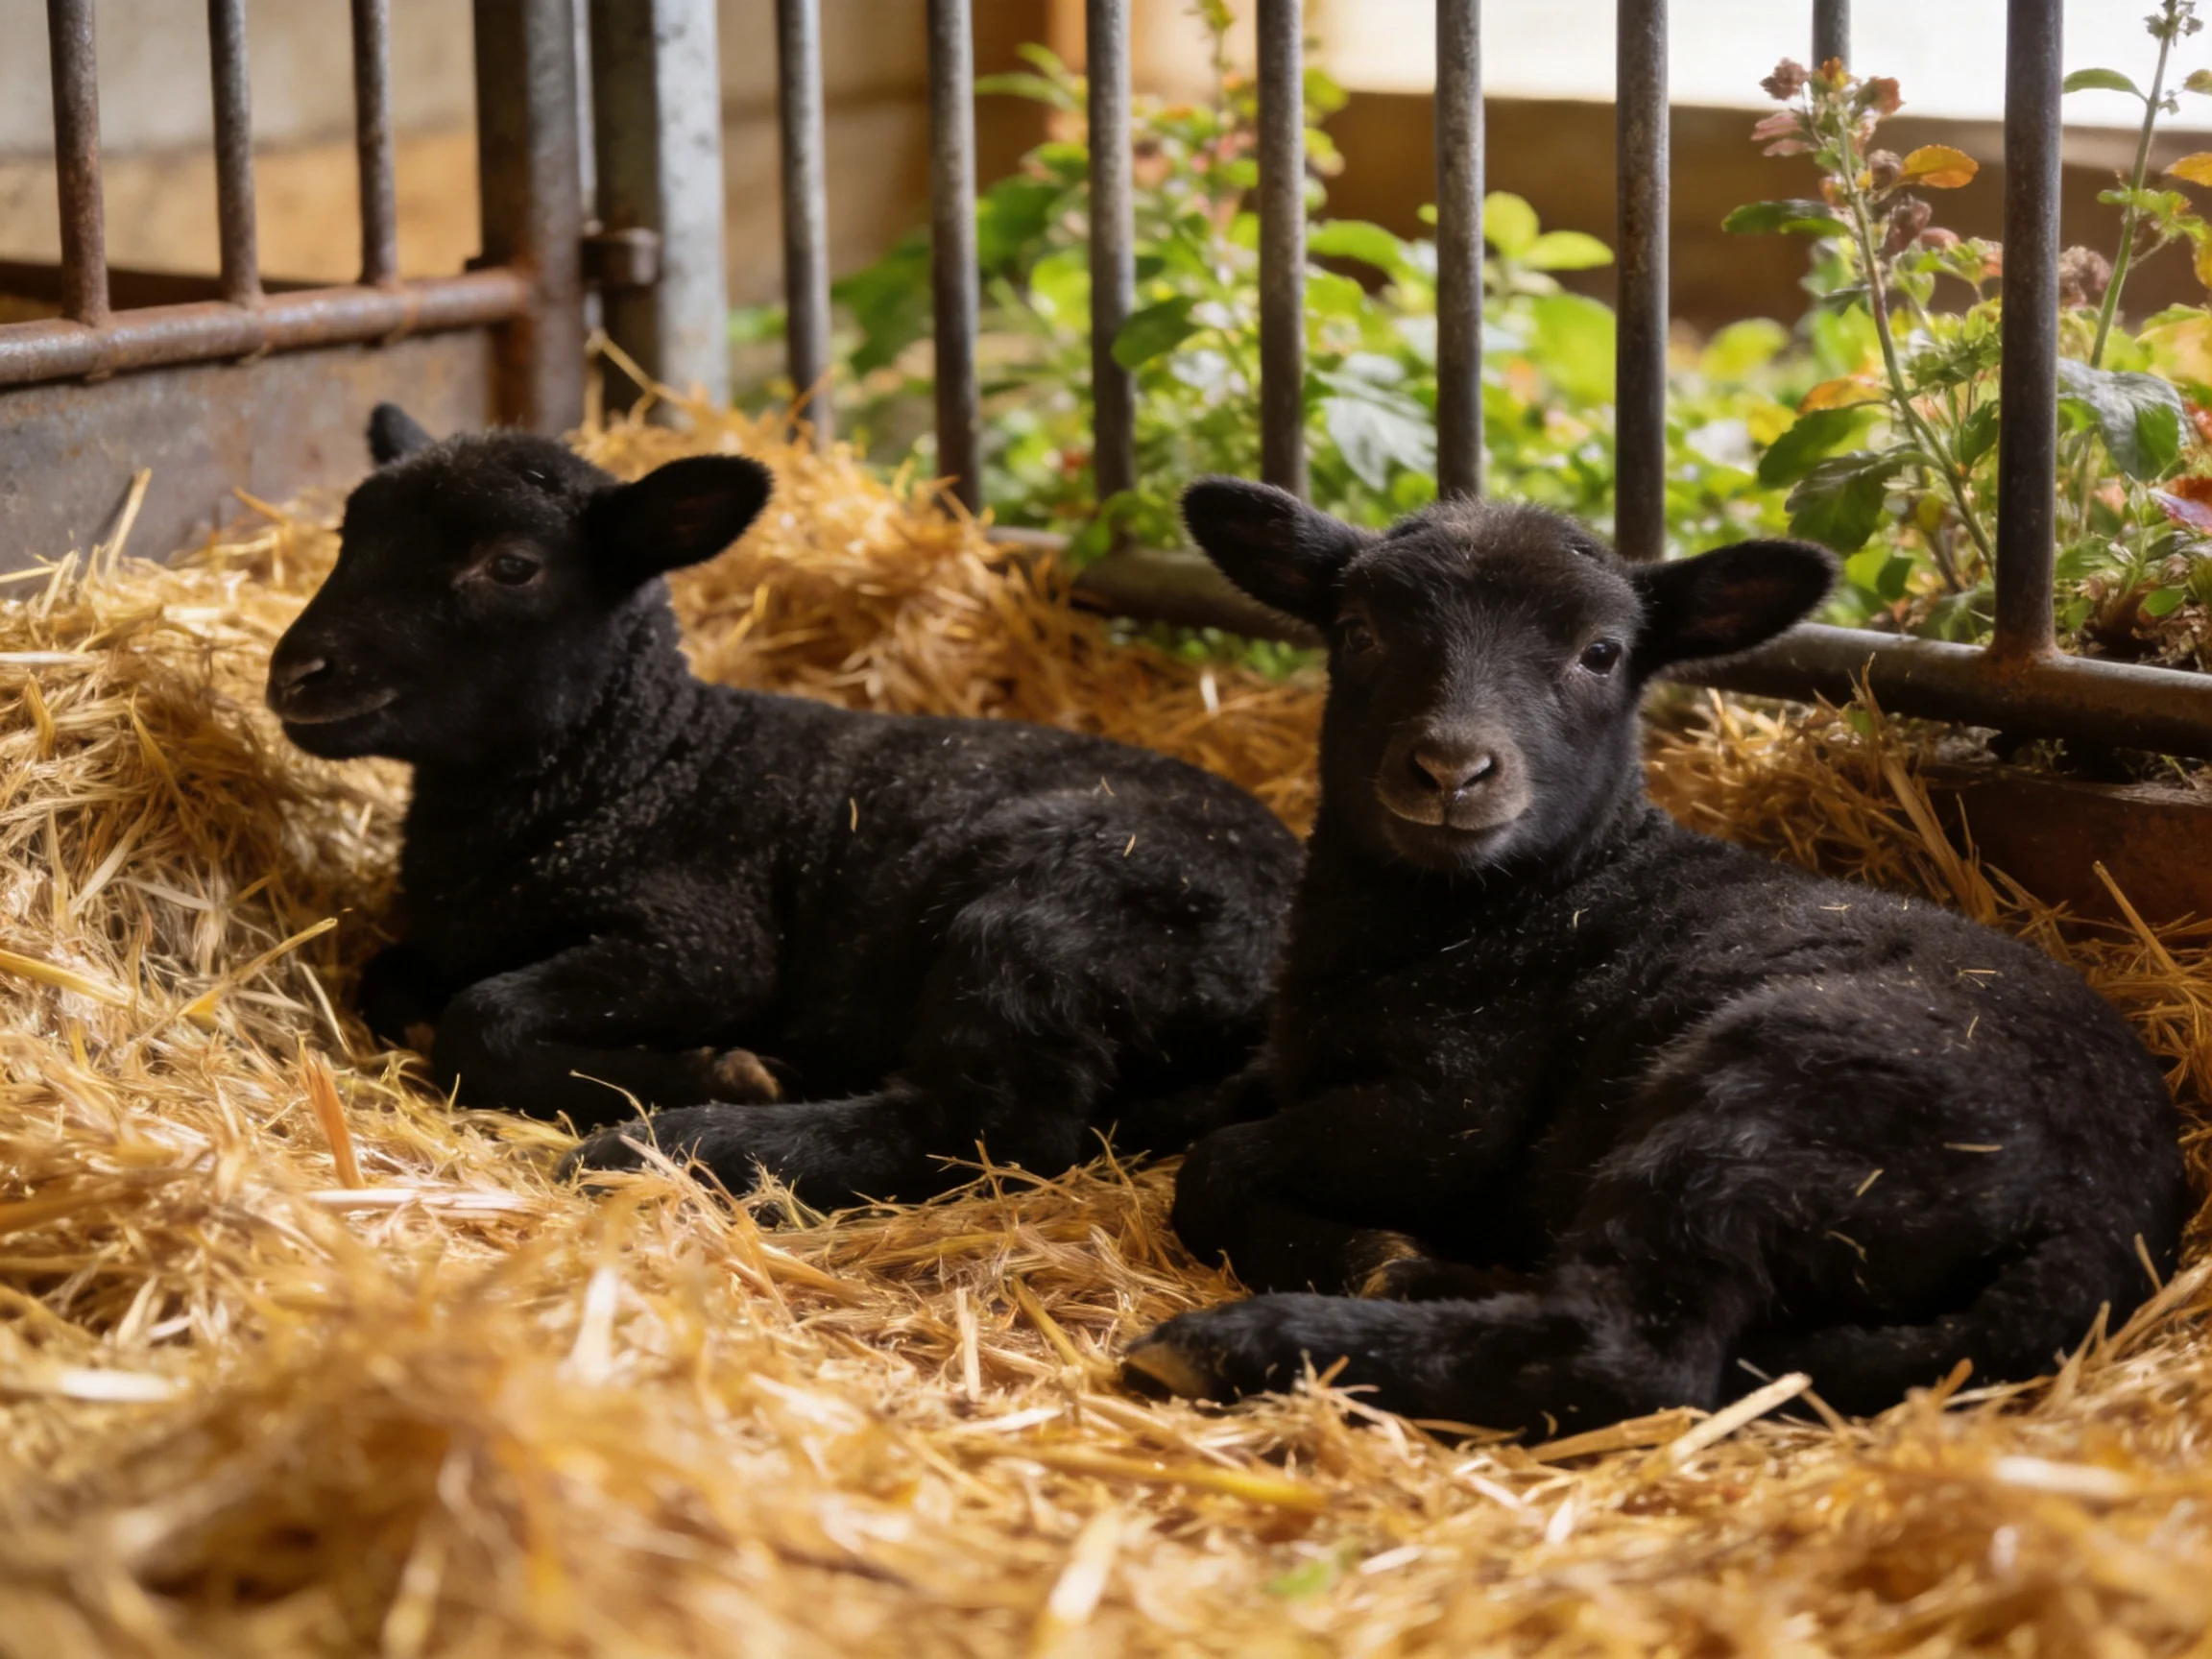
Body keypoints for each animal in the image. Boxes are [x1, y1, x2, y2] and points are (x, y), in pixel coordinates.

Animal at [265, 408, 1301, 1207]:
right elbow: (394, 983)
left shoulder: (703, 941)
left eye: (511, 566)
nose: (297, 671)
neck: (635, 766)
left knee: (988, 1130)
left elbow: (477, 1020)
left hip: (1060, 912)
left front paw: (720, 1070)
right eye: (348, 537)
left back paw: (681, 1140)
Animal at [1121, 478, 2188, 1431]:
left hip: (1767, 1101)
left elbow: (1213, 1168)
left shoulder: (1450, 1113)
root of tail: (2108, 1219)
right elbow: (1216, 1107)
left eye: (1602, 653)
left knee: (1623, 1356)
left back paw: (1257, 1336)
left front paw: (1363, 1251)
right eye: (1357, 632)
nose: (1452, 770)